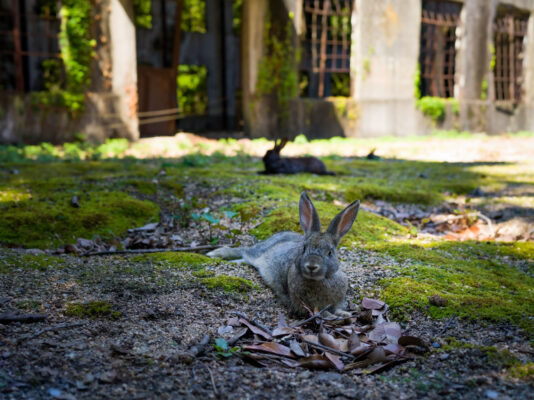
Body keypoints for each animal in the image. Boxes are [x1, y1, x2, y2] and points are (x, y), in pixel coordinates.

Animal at [208, 192, 360, 318]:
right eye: (304, 248)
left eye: (330, 252)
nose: (311, 266)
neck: (317, 281)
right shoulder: (303, 305)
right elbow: (321, 313)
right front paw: (332, 316)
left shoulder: (338, 300)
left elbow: (338, 308)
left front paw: (345, 314)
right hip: (257, 253)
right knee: (245, 253)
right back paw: (217, 255)